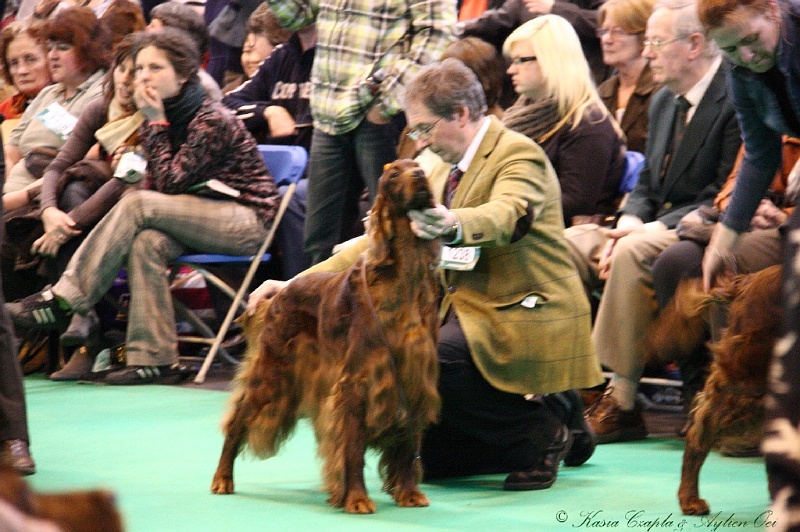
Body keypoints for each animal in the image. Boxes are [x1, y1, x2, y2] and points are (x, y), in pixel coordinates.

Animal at [212, 159, 444, 516]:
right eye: (394, 173)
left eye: (417, 166)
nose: (419, 175)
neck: (404, 276)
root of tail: (280, 293)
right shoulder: (357, 381)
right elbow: (353, 448)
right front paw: (357, 499)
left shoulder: (414, 377)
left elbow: (408, 444)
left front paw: (408, 492)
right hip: (273, 374)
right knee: (236, 422)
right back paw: (223, 478)